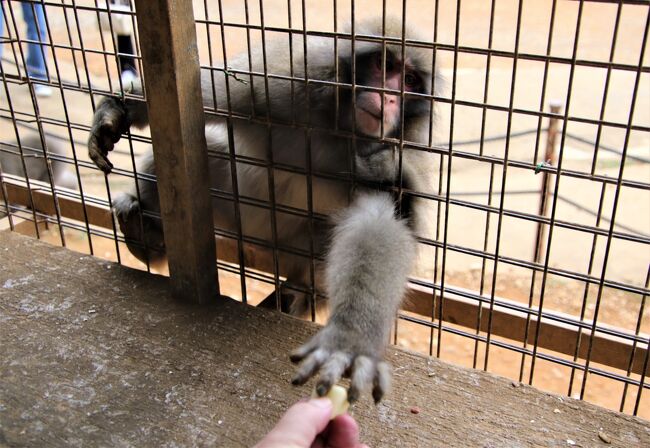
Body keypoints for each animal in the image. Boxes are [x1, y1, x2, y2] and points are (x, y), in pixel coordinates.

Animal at [87, 16, 436, 402]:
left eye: (409, 80)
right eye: (383, 65)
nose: (389, 97)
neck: (339, 131)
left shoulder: (387, 158)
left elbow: (381, 220)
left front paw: (350, 336)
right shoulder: (287, 82)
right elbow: (205, 97)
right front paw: (120, 108)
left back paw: (296, 294)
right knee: (199, 151)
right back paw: (147, 236)